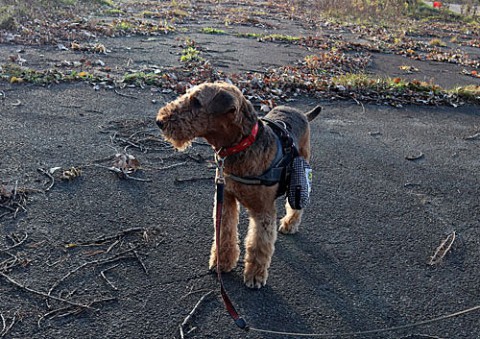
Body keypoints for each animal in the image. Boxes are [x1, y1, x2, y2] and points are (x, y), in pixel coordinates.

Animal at [158, 82, 320, 290]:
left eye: (196, 102)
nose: (160, 121)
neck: (241, 145)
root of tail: (302, 114)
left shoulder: (263, 210)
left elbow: (258, 244)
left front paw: (255, 275)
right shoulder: (225, 199)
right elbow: (225, 233)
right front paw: (222, 263)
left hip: (299, 175)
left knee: (295, 206)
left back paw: (289, 224)